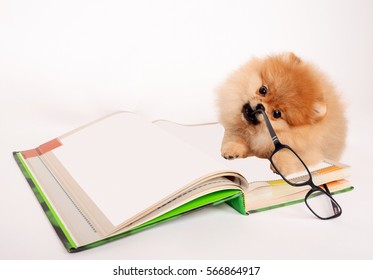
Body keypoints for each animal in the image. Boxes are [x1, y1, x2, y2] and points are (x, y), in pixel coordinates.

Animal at [215, 52, 346, 175]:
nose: (260, 106)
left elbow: (287, 154)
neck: (256, 131)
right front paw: (232, 149)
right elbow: (235, 136)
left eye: (277, 113)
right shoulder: (236, 127)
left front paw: (279, 165)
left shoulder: (307, 150)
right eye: (263, 90)